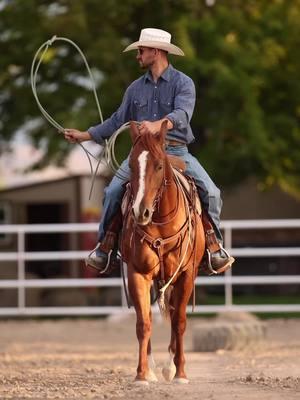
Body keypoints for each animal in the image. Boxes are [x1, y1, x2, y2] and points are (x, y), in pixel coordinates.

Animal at [120, 122, 205, 384]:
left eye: (158, 165)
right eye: (131, 165)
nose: (141, 212)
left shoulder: (186, 275)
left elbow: (179, 322)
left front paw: (181, 373)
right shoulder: (138, 273)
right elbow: (143, 322)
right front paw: (142, 374)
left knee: (175, 315)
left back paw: (171, 367)